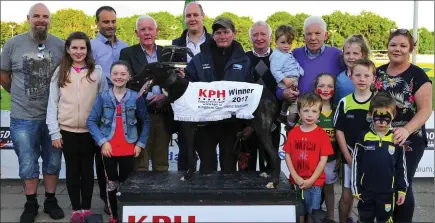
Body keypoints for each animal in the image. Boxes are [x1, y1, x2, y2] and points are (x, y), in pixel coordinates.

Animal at [127, 45, 282, 188]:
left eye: (148, 70)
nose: (131, 81)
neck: (177, 87)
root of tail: (270, 96)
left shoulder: (188, 127)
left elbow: (191, 155)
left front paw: (188, 176)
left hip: (261, 129)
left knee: (276, 157)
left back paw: (274, 183)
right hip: (262, 131)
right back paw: (268, 173)